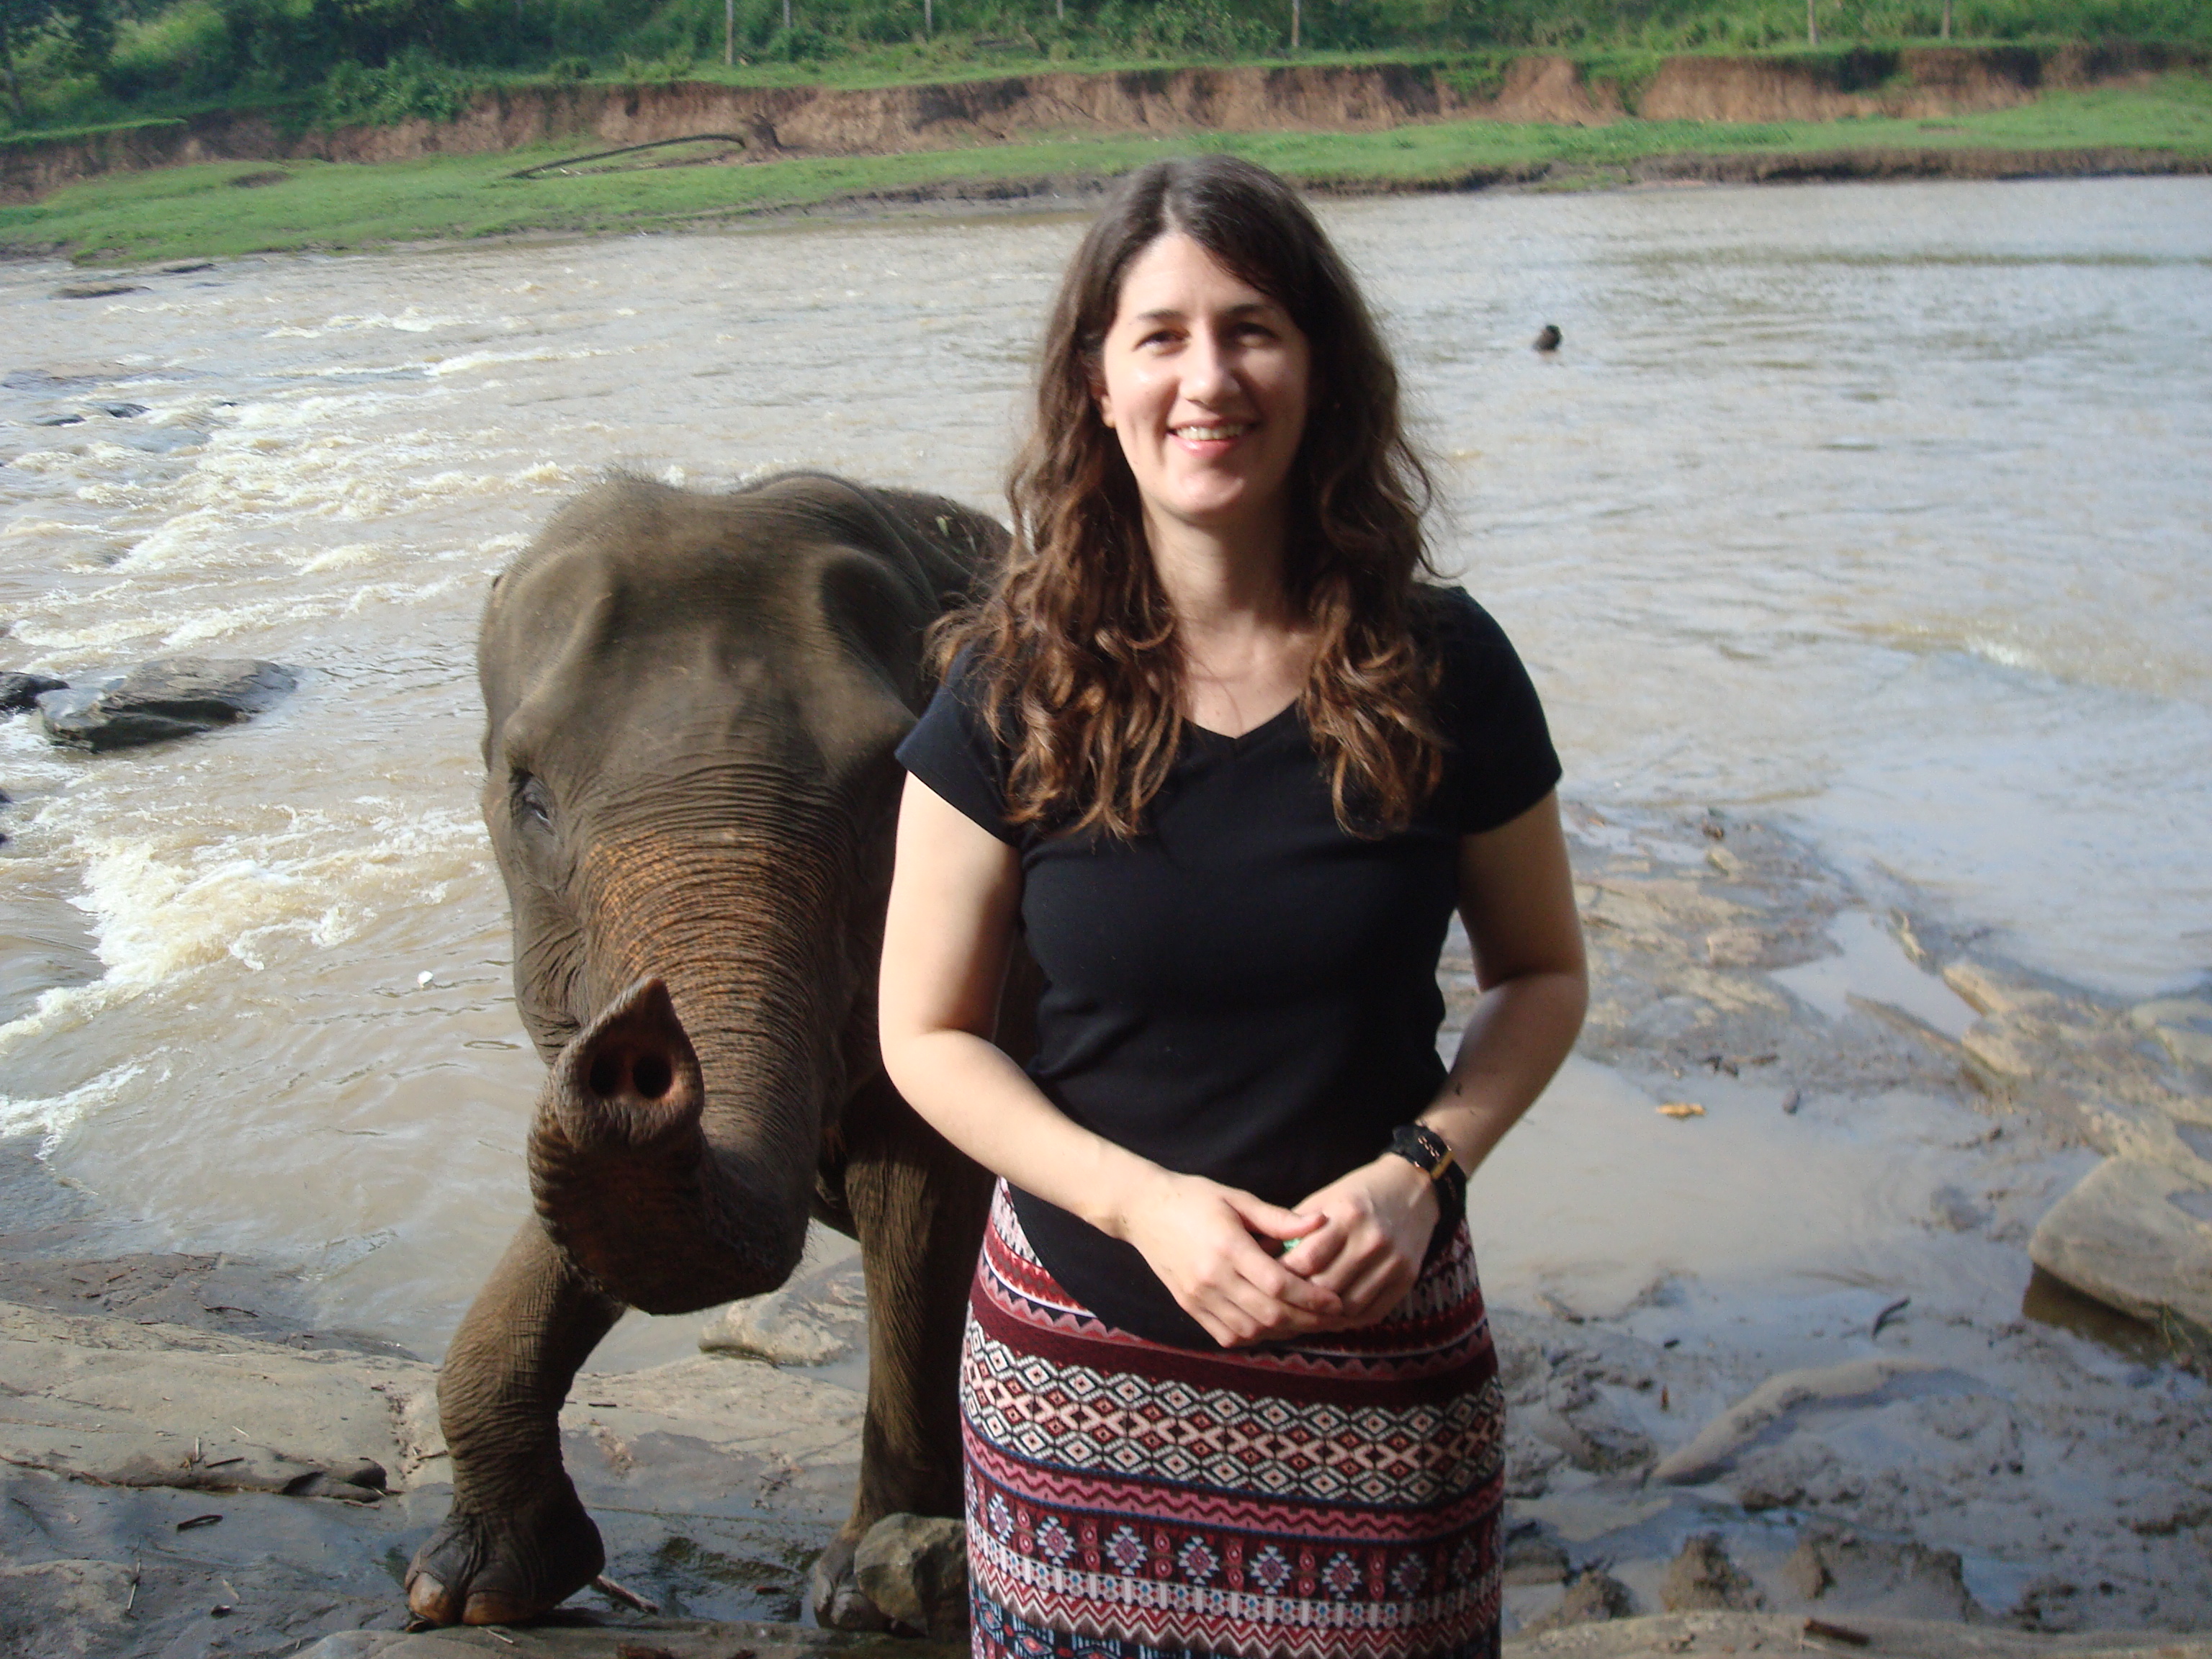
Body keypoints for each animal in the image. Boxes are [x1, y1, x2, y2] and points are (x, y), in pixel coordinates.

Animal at [403, 471, 1008, 1637]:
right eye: (528, 792)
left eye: (892, 785)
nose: (643, 1039)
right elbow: (589, 1199)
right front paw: (474, 1587)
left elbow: (921, 1210)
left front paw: (868, 1590)